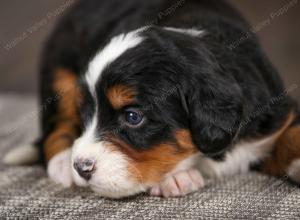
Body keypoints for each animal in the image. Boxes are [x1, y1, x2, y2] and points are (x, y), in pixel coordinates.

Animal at [4, 0, 300, 199]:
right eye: (85, 115)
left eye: (132, 117)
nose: (82, 167)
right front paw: (176, 179)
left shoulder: (276, 112)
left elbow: (291, 135)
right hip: (59, 69)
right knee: (55, 128)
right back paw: (62, 164)